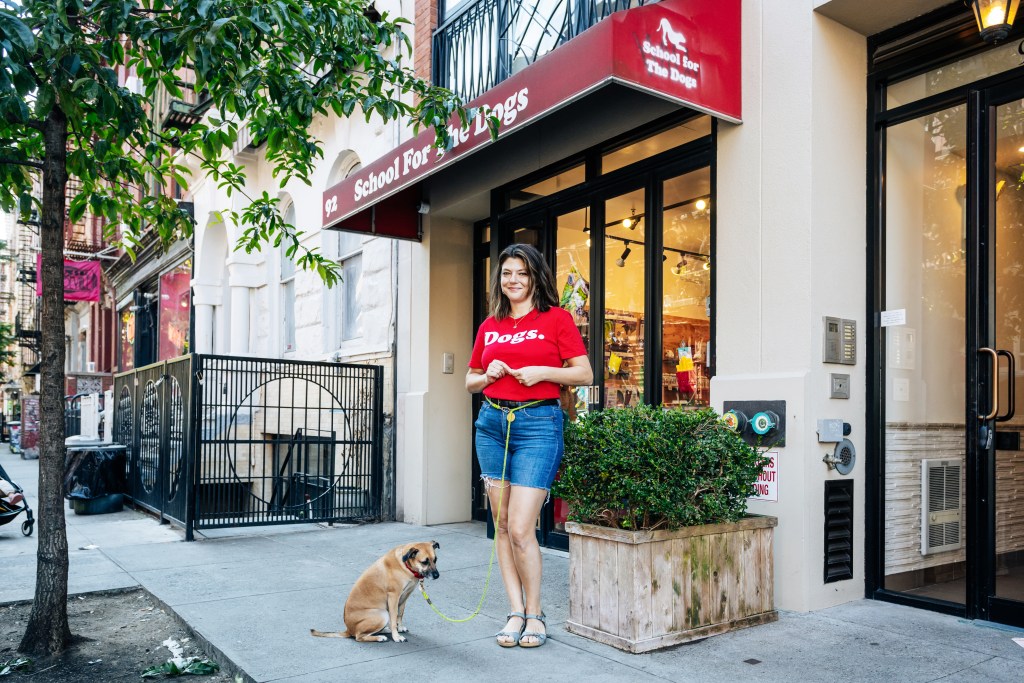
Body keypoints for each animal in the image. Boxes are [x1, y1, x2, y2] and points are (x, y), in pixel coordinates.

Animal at [311, 540, 440, 643]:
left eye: (435, 560)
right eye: (424, 562)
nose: (437, 576)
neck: (405, 564)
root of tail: (348, 630)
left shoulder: (404, 596)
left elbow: (400, 614)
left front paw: (399, 628)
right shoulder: (393, 597)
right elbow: (394, 618)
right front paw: (396, 636)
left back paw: (385, 630)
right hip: (382, 614)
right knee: (359, 637)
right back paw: (379, 637)